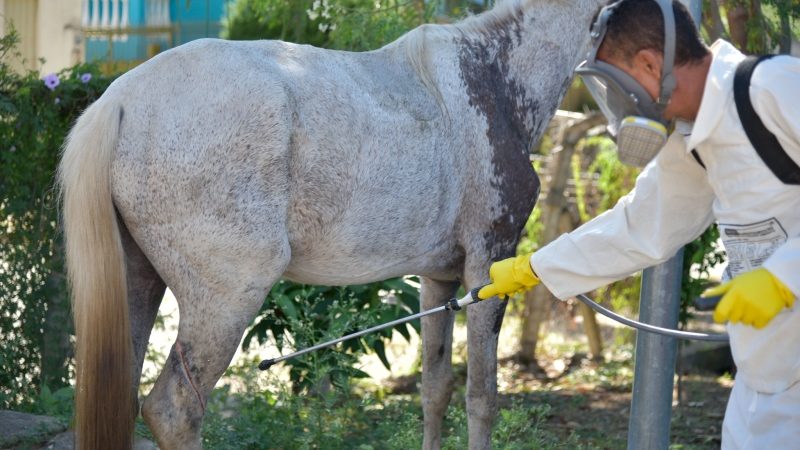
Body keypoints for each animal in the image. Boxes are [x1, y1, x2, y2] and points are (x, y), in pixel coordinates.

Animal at [57, 1, 600, 448]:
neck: (492, 74)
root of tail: (121, 100)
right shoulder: (490, 263)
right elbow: (482, 397)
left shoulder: (440, 278)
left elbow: (436, 388)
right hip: (228, 296)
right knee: (175, 410)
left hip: (138, 282)